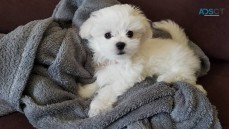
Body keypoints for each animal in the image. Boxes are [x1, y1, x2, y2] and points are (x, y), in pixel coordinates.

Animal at [77, 4, 206, 117]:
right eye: (107, 35)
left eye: (130, 33)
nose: (120, 44)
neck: (118, 61)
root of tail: (184, 46)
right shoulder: (105, 71)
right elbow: (98, 83)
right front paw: (85, 91)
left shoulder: (127, 77)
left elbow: (107, 90)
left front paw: (97, 106)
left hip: (181, 65)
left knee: (188, 78)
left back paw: (167, 78)